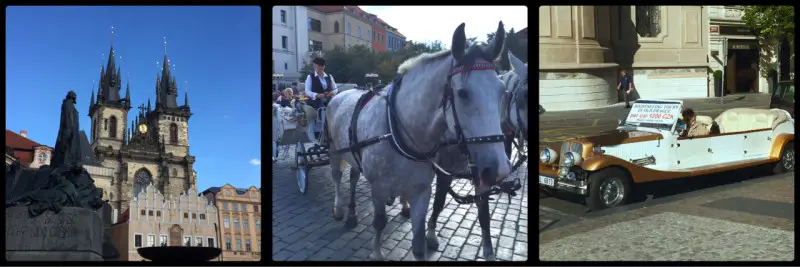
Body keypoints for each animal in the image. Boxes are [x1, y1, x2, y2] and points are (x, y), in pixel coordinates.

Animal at [324, 22, 506, 260]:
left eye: (502, 91)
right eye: (462, 93)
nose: (499, 169)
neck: (400, 129)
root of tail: (341, 93)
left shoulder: (422, 190)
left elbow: (419, 241)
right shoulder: (379, 188)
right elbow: (379, 222)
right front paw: (377, 253)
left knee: (354, 177)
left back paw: (354, 212)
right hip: (334, 149)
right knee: (337, 176)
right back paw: (339, 208)